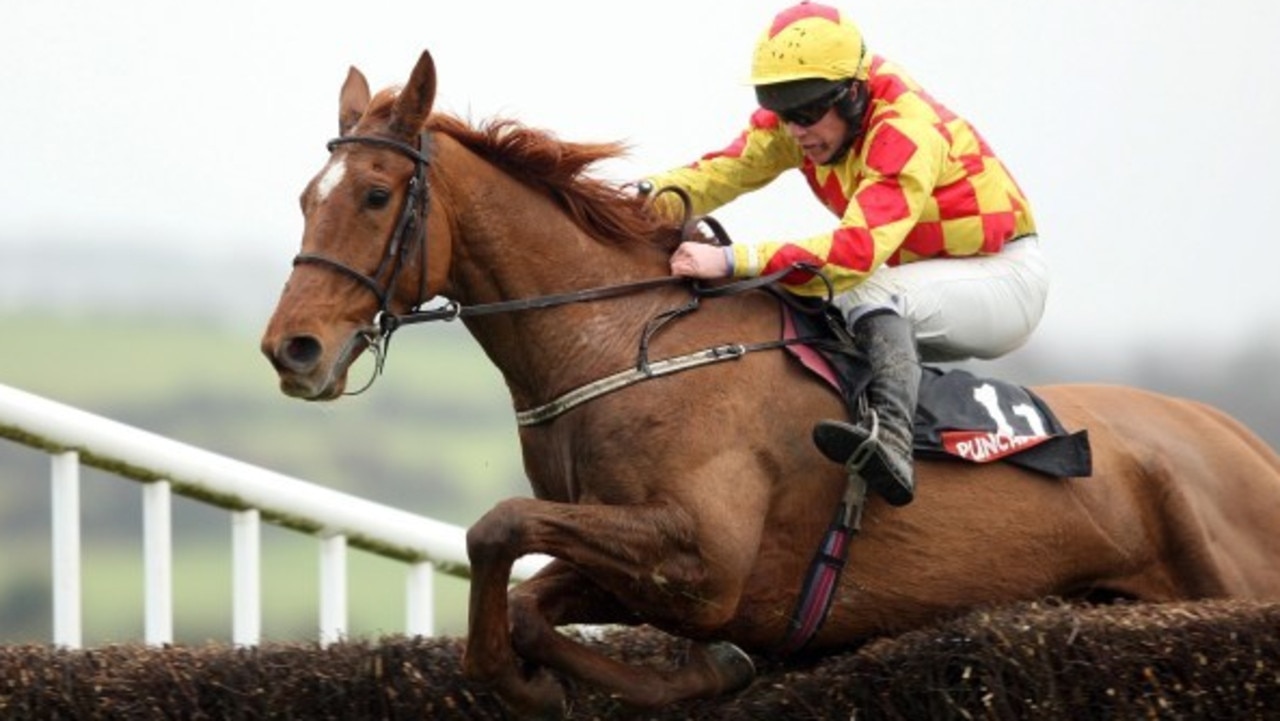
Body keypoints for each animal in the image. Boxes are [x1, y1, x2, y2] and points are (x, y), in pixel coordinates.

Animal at [262, 50, 1280, 717]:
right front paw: (657, 673)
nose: (292, 349)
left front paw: (680, 673)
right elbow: (524, 598)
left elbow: (497, 527)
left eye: (376, 196)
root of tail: (1241, 439)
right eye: (307, 198)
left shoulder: (705, 556)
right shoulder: (635, 560)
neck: (623, 343)